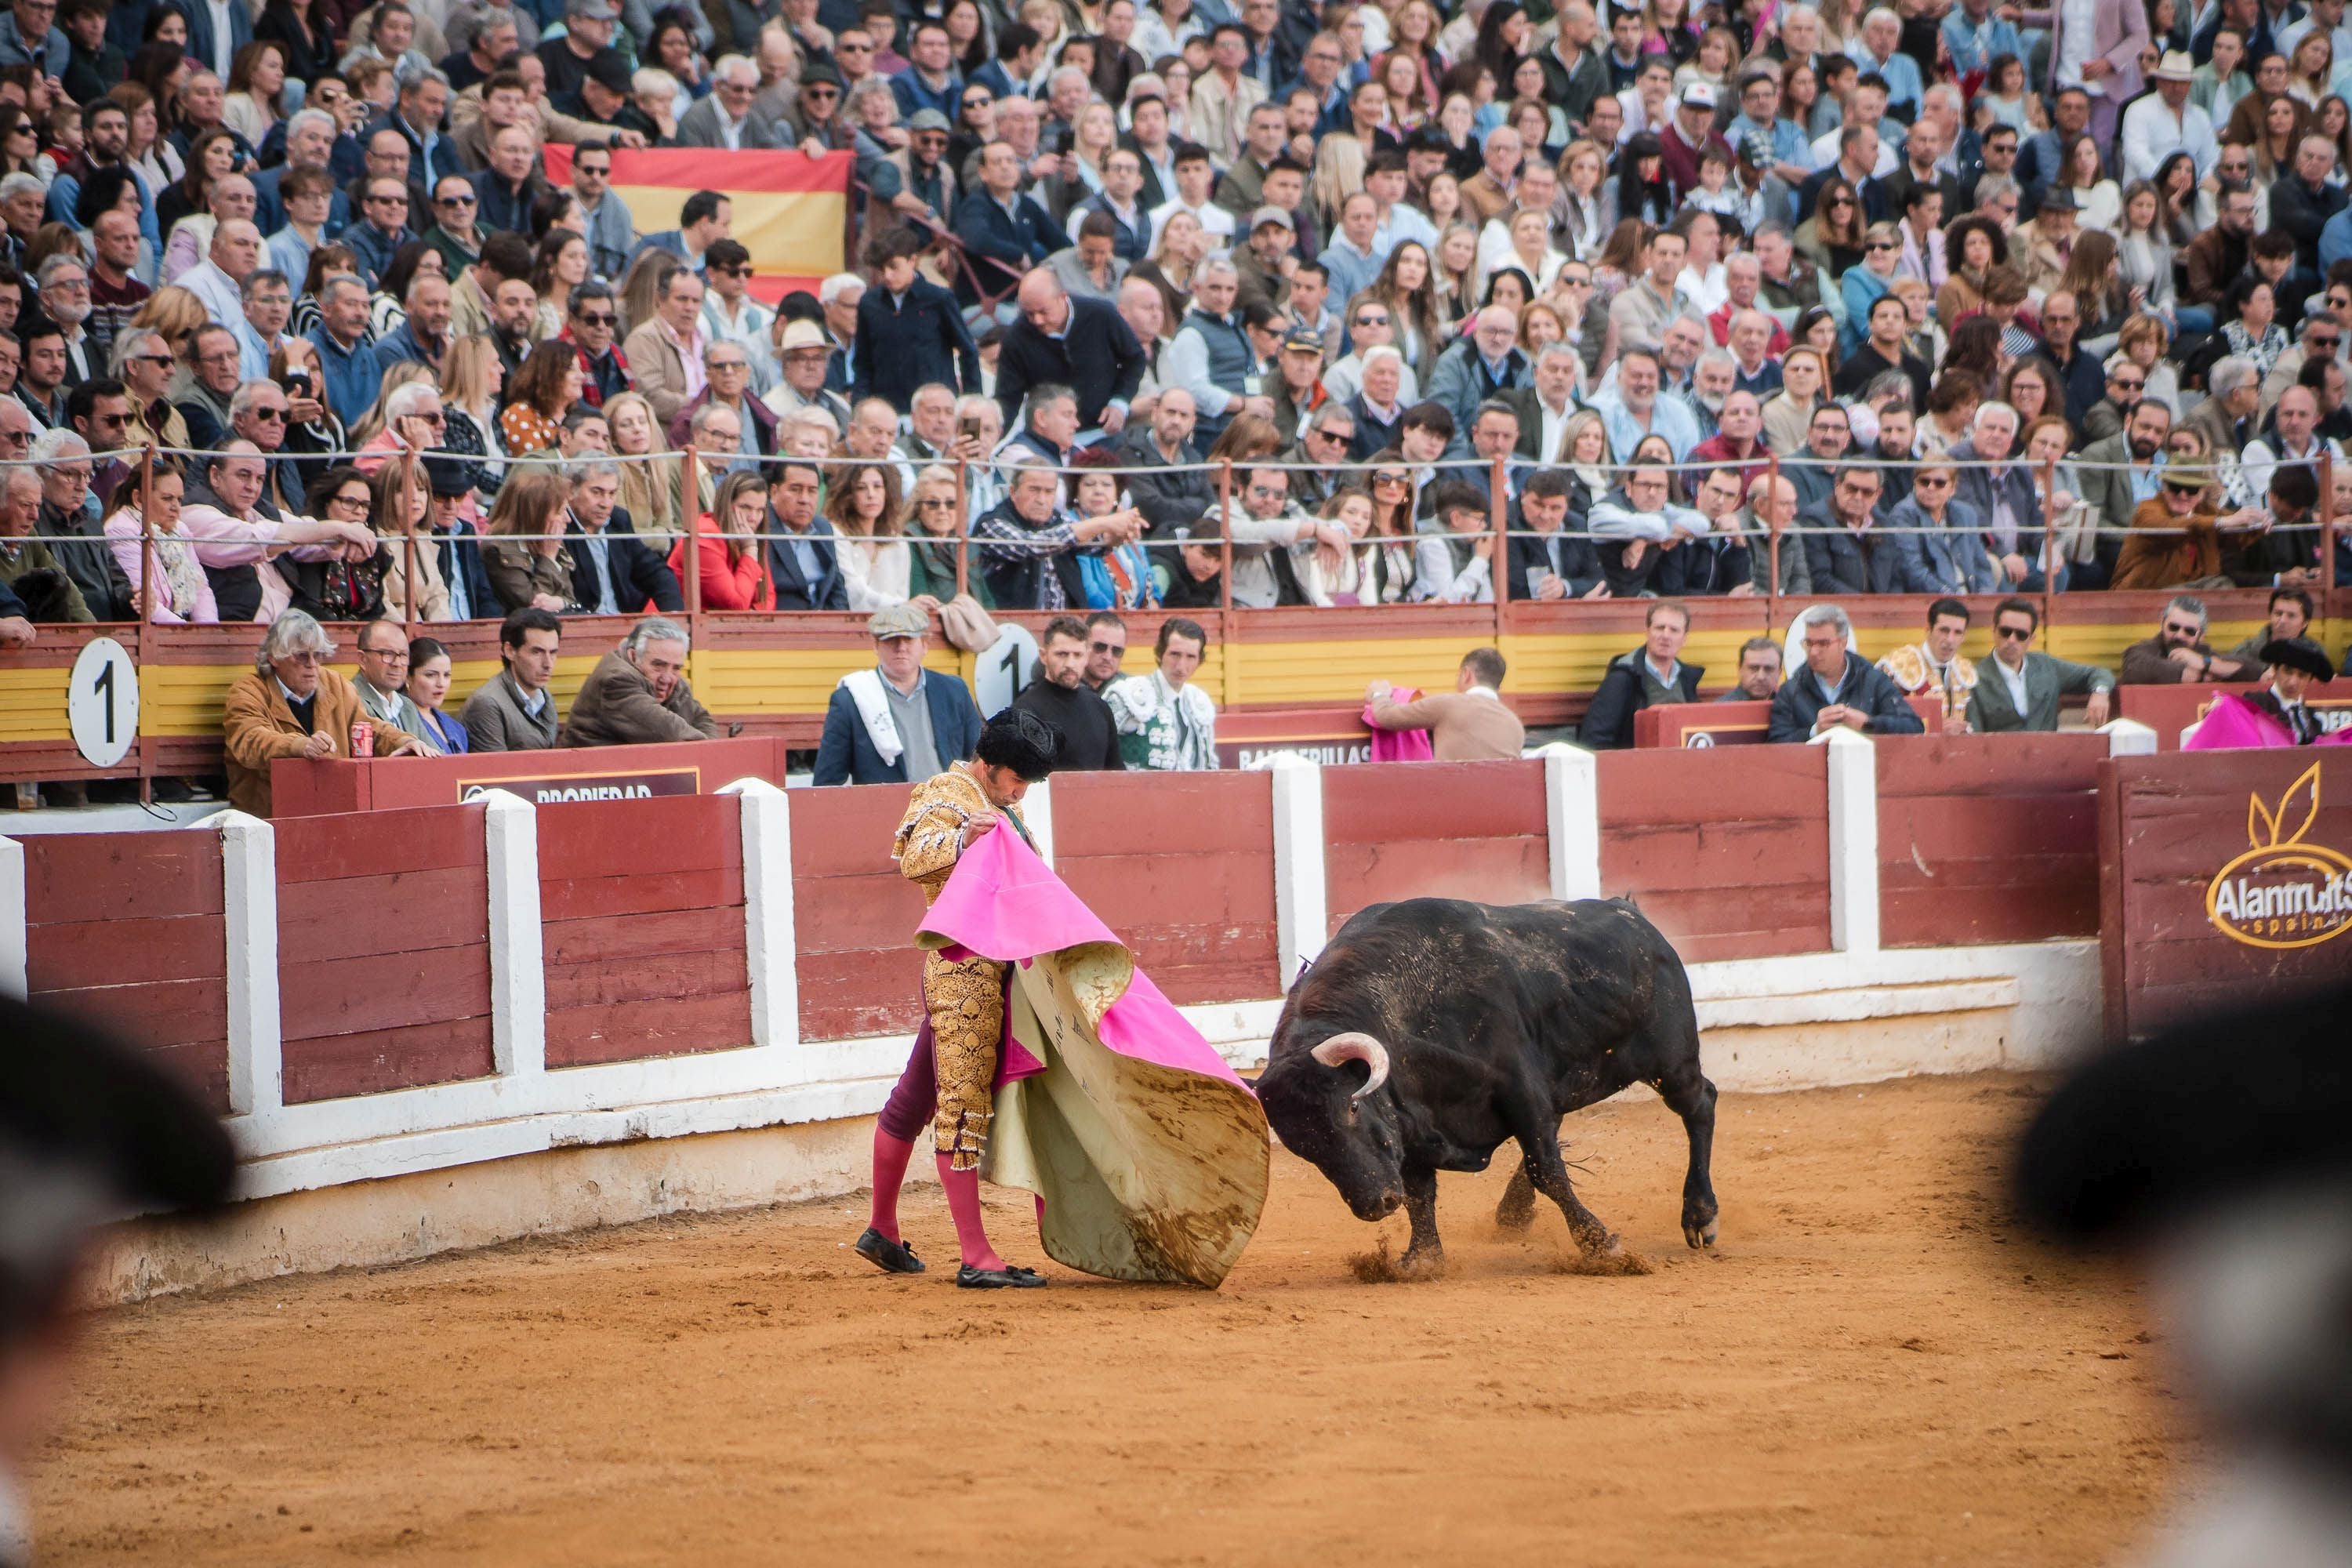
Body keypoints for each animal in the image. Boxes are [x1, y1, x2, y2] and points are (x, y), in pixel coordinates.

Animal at [1261, 893, 1722, 1279]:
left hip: (1671, 1062)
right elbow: (1420, 1192)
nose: (1376, 1205)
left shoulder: (1520, 1089)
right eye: (1304, 1147)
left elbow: (1547, 1170)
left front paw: (1601, 1246)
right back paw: (1513, 1213)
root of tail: (1634, 917)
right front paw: (1421, 1259)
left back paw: (1701, 1216)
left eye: (1352, 1108)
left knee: (1700, 1105)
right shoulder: (1412, 1123)